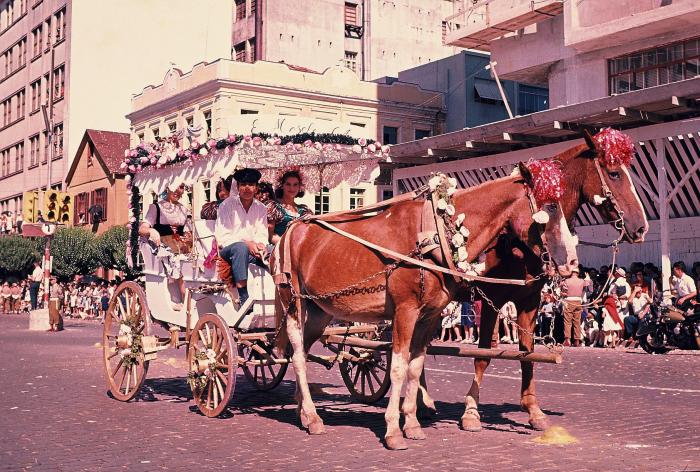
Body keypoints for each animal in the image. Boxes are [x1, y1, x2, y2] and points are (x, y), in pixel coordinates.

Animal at [276, 165, 576, 450]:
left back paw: (303, 411)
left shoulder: (429, 317)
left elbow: (415, 366)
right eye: (551, 206)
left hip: (319, 310)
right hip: (293, 302)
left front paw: (411, 424)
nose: (572, 262)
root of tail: (293, 228)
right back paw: (313, 416)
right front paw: (393, 430)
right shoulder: (405, 311)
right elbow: (398, 367)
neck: (436, 234)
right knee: (298, 355)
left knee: (300, 350)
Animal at [442, 131, 652, 434]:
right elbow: (483, 354)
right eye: (614, 173)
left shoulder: (529, 301)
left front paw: (533, 409)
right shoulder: (492, 299)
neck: (515, 241)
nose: (641, 227)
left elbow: (527, 352)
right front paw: (471, 411)